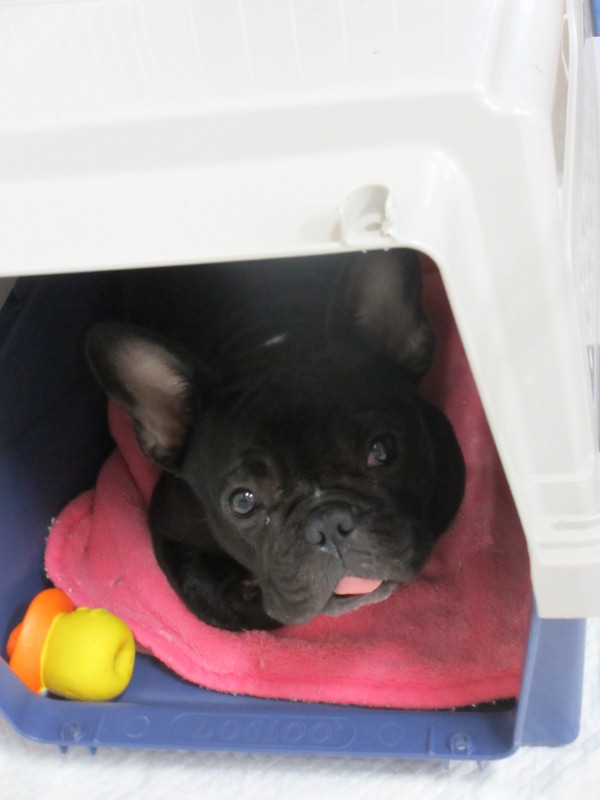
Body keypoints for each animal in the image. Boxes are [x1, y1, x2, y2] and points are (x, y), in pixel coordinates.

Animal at [85, 250, 465, 631]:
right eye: (242, 502)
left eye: (383, 451)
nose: (328, 523)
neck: (273, 346)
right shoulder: (170, 526)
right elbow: (216, 602)